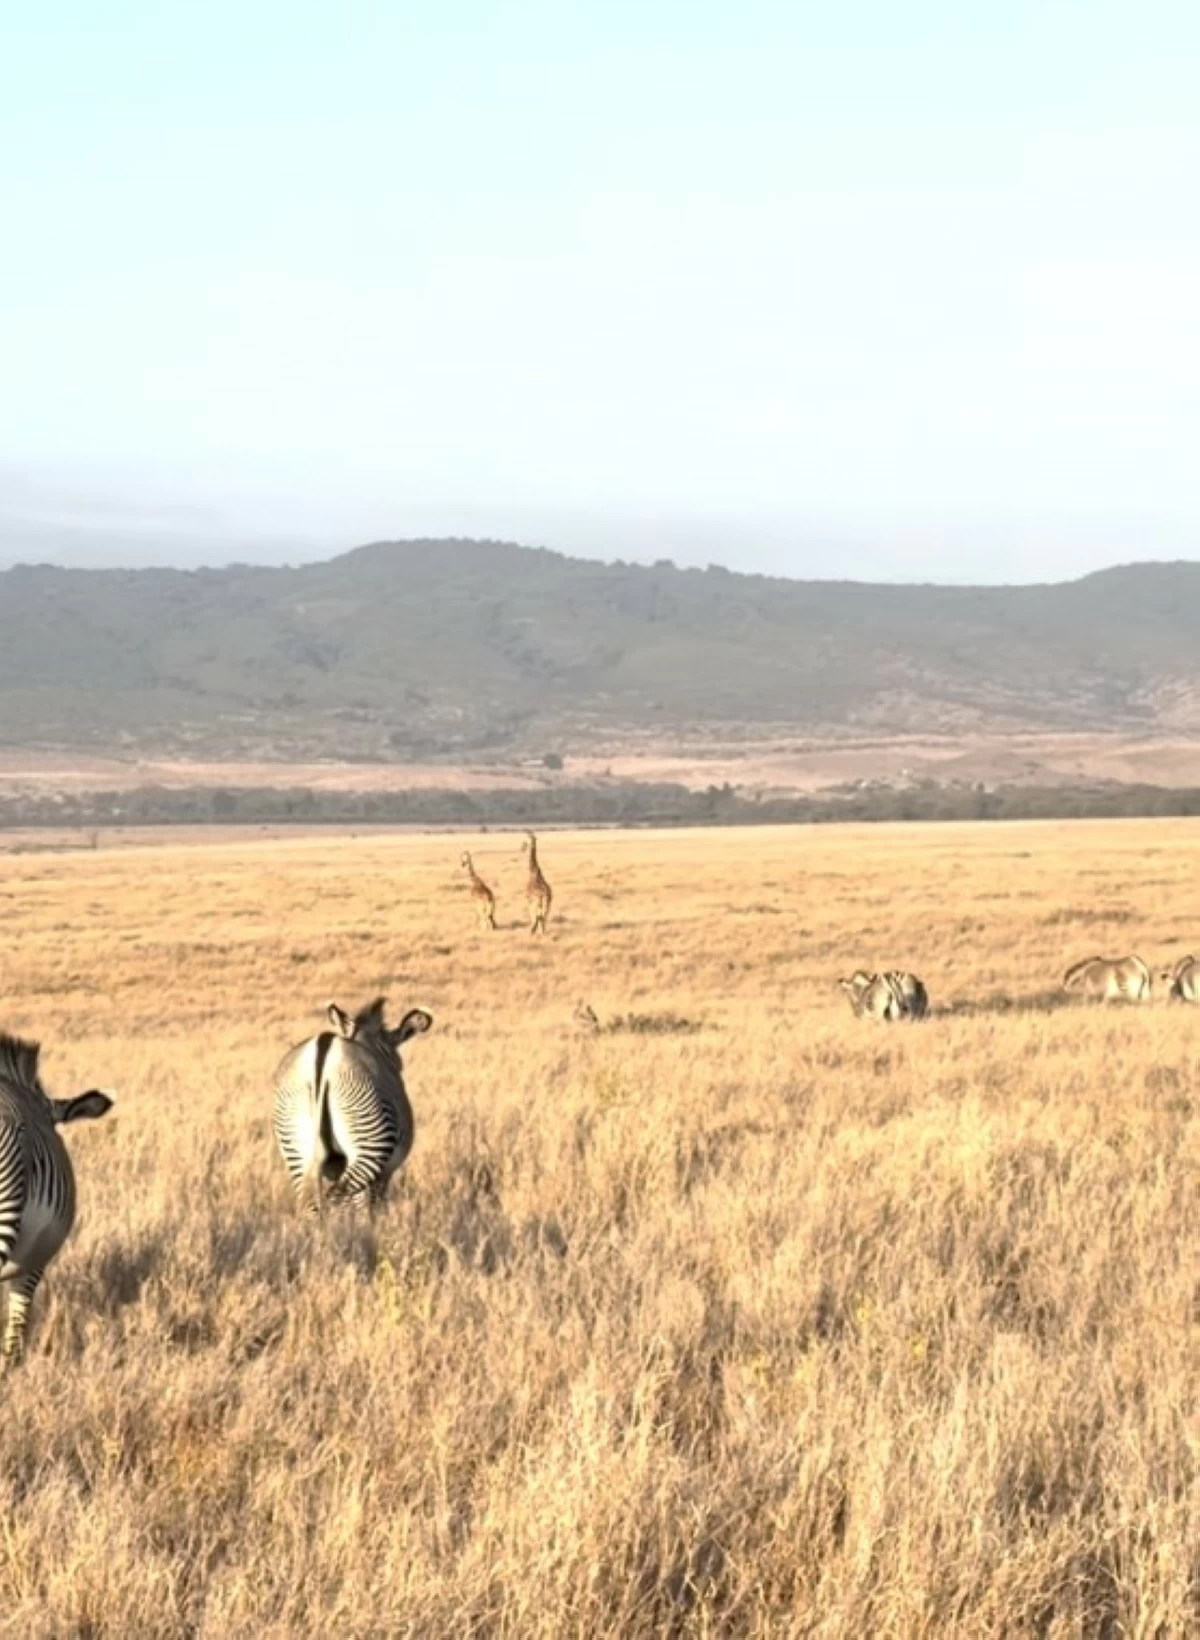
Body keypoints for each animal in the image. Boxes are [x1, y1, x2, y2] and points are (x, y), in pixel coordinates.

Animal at [273, 997, 433, 1215]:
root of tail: (323, 1046)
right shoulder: (384, 1172)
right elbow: (372, 1207)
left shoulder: (334, 1166)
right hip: (368, 1147)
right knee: (340, 1198)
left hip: (297, 1150)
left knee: (313, 1204)